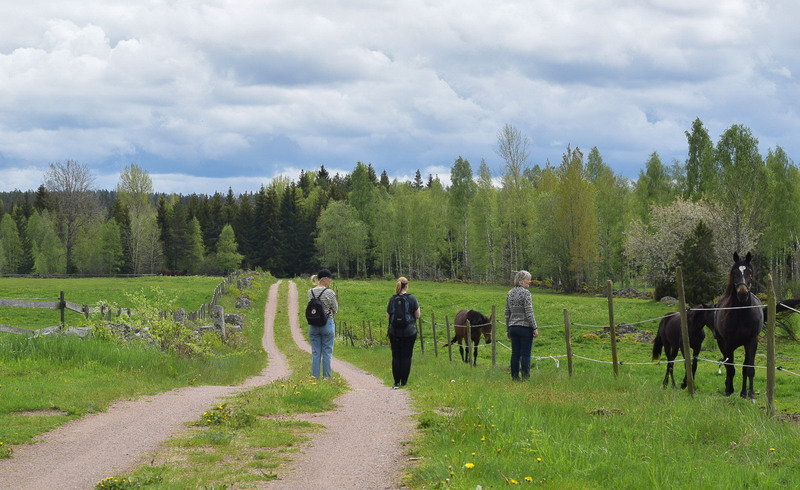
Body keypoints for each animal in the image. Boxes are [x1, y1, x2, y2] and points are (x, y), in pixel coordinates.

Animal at [712, 253, 764, 398]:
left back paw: (743, 393)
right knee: (727, 366)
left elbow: (749, 369)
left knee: (745, 367)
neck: (742, 312)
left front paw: (751, 395)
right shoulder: (728, 344)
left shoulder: (752, 342)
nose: (742, 293)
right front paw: (729, 390)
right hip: (722, 344)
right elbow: (730, 368)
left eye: (749, 272)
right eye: (734, 272)